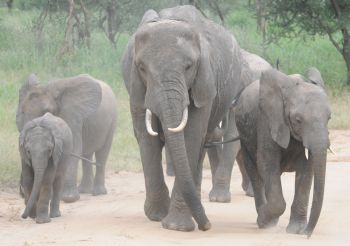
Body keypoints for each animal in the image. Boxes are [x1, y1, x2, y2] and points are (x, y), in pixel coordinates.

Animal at [16, 73, 117, 202]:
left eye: (47, 111)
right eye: (22, 112)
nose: (22, 193)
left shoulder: (71, 117)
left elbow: (72, 149)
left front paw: (69, 198)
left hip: (112, 121)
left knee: (102, 153)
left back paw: (98, 193)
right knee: (87, 155)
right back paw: (84, 191)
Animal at [121, 5, 247, 231]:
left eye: (189, 67)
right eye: (142, 68)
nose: (207, 226)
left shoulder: (204, 81)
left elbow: (192, 136)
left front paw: (176, 226)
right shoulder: (137, 87)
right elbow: (146, 136)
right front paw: (157, 215)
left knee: (201, 144)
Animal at [235, 68, 330, 237]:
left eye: (329, 118)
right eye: (298, 120)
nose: (307, 234)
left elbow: (307, 169)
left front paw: (296, 230)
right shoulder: (267, 120)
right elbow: (266, 162)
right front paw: (263, 220)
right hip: (244, 137)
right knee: (255, 173)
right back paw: (265, 220)